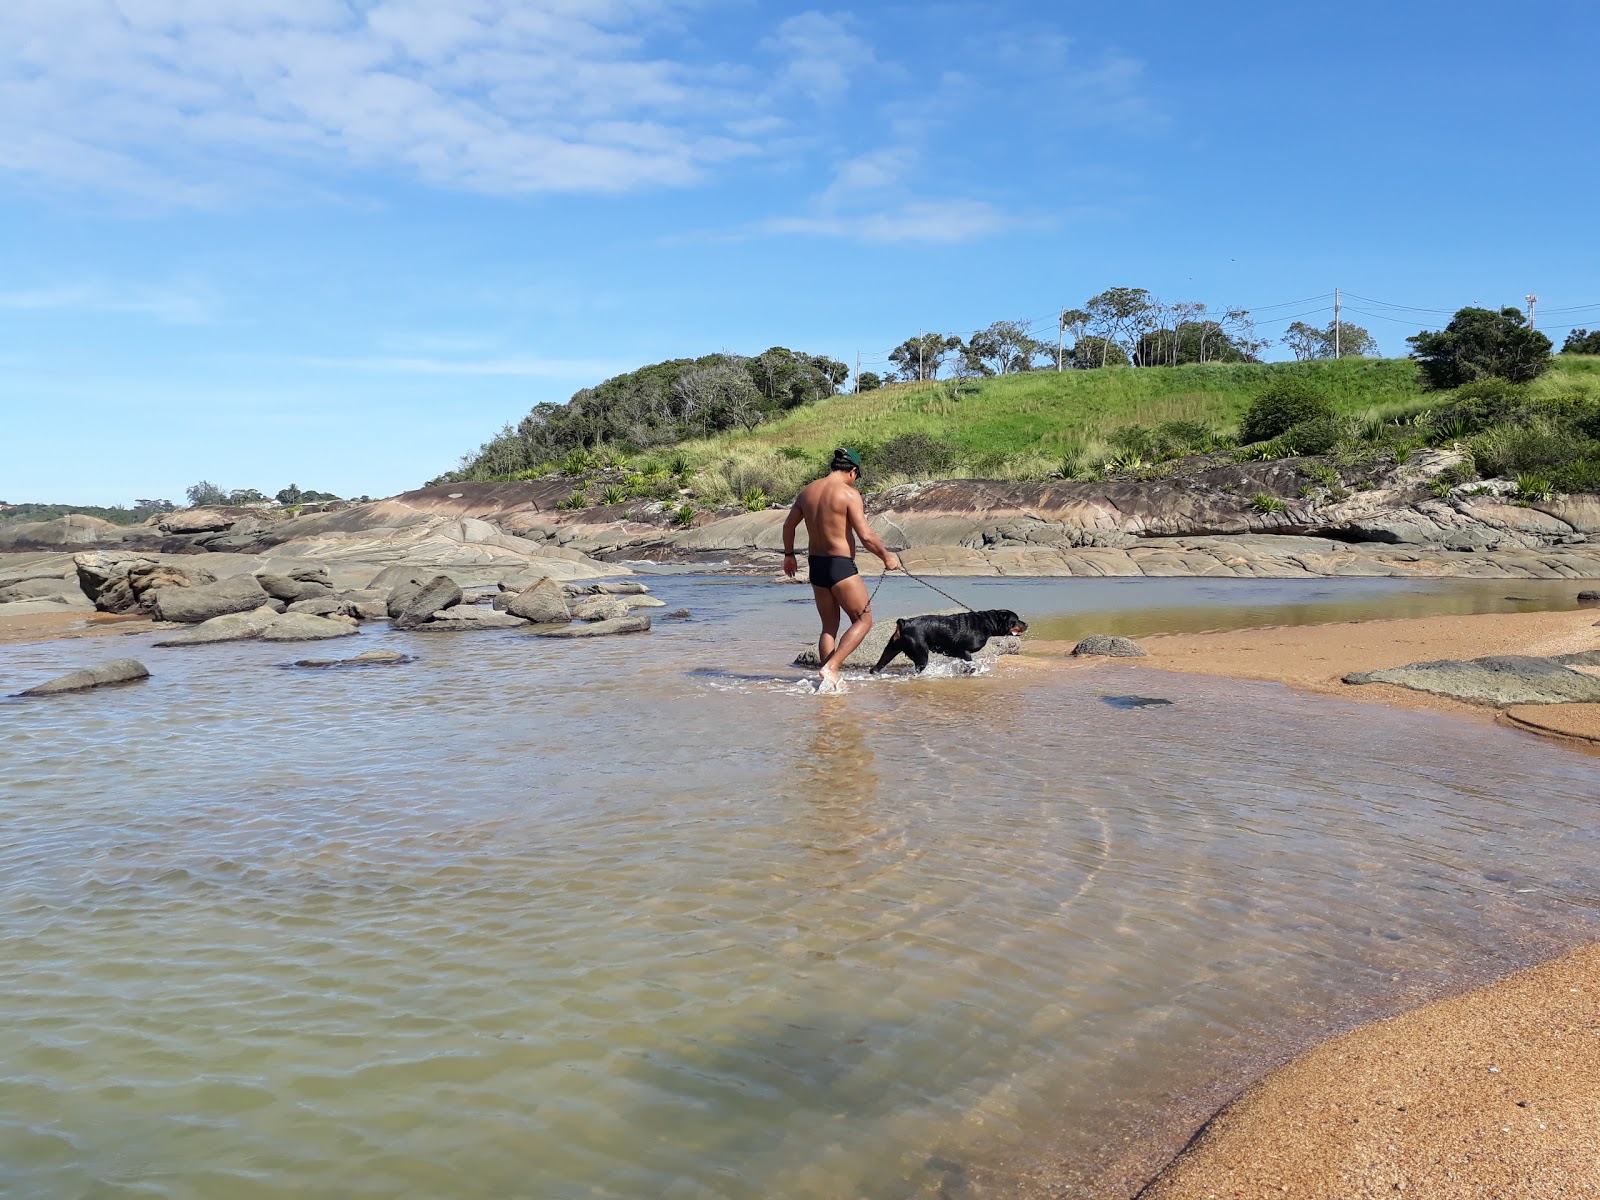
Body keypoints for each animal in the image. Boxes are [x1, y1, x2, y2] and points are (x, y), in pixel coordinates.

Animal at [870, 611, 1030, 678]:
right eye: (1016, 620)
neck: (986, 623)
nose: (1026, 624)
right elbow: (971, 664)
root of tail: (904, 623)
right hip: (920, 654)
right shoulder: (964, 651)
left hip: (891, 649)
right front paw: (971, 671)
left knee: (877, 666)